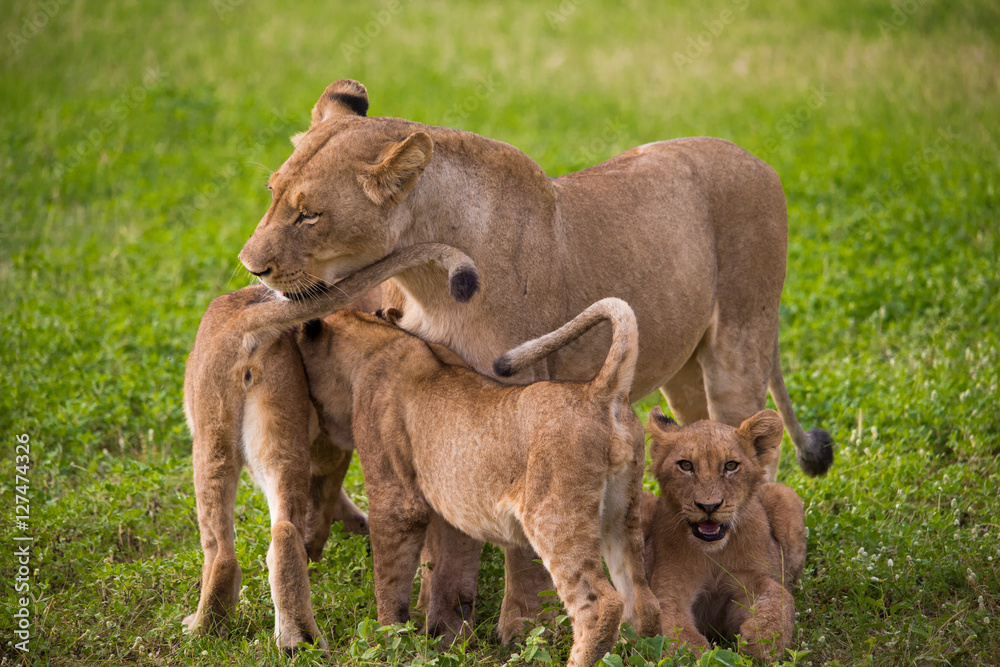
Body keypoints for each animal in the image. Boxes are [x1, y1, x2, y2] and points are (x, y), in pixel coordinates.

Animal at [182, 244, 479, 653]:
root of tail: (247, 319)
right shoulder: (329, 445)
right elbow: (323, 500)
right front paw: (346, 532)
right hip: (280, 437)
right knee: (285, 532)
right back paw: (298, 639)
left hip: (212, 440)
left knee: (220, 548)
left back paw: (203, 628)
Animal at [643, 406, 807, 662]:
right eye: (686, 465)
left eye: (730, 466)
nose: (709, 506)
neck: (714, 554)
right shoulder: (669, 590)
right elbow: (675, 628)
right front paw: (697, 655)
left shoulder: (755, 577)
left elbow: (779, 597)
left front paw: (763, 640)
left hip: (783, 495)